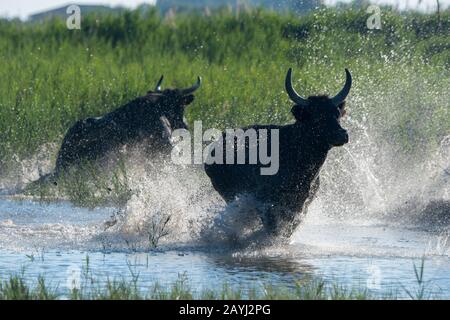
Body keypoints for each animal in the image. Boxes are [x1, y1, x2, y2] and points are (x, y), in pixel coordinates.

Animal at [206, 69, 354, 236]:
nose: (342, 135)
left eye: (336, 113)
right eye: (317, 117)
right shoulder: (265, 201)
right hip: (229, 194)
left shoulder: (302, 204)